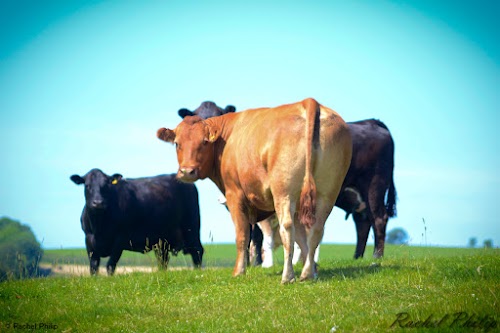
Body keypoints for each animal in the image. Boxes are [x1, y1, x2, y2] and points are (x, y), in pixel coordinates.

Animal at [70, 169, 203, 274]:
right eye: (87, 186)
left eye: (106, 185)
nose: (98, 203)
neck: (99, 227)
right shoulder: (89, 241)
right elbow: (93, 267)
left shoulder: (120, 240)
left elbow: (110, 266)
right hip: (162, 241)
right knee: (163, 260)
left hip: (191, 228)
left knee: (197, 251)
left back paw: (198, 272)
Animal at [157, 97, 352, 282]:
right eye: (177, 143)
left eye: (204, 142)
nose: (187, 171)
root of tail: (309, 102)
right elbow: (302, 239)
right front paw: (311, 270)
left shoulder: (235, 194)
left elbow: (243, 235)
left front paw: (239, 271)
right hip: (327, 192)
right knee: (317, 228)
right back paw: (307, 274)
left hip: (284, 190)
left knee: (287, 227)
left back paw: (287, 276)